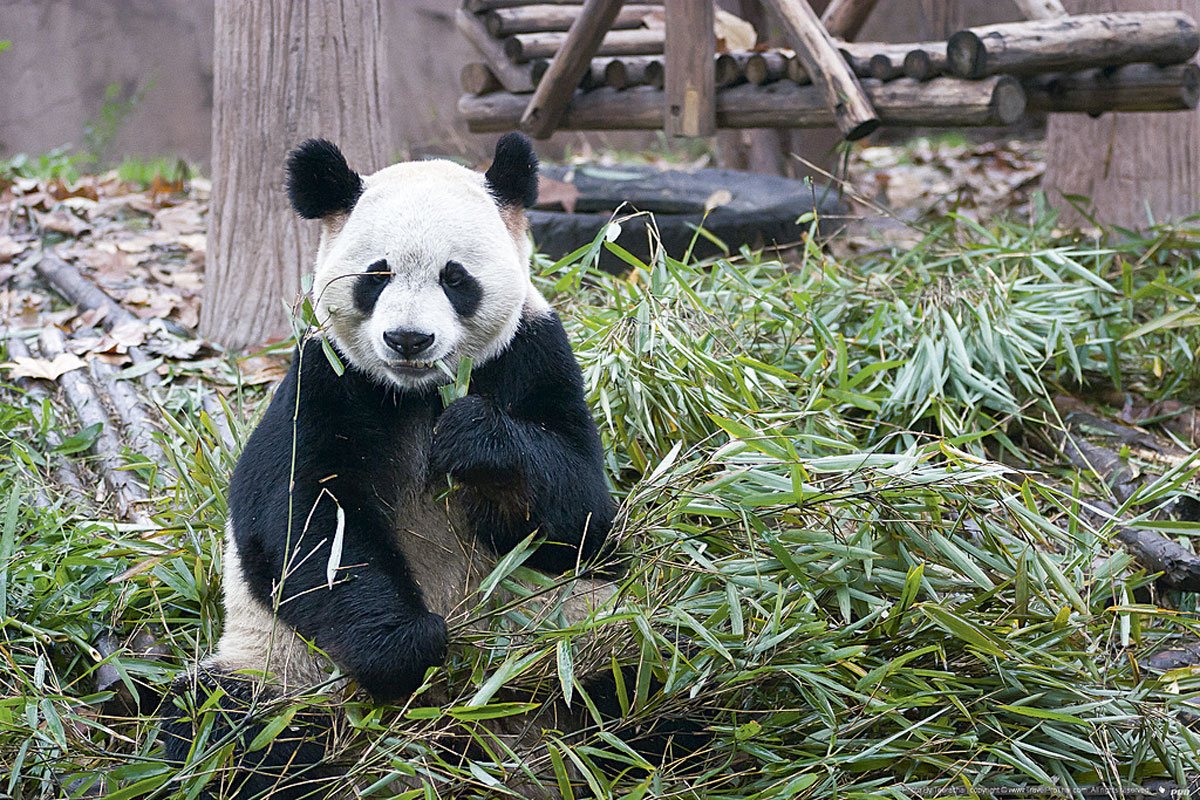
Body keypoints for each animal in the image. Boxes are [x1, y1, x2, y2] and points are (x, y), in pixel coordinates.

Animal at [162, 134, 657, 798]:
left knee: (645, 667)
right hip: (283, 669)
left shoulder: (534, 352)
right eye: (377, 276)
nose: (408, 340)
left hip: (567, 635)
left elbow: (584, 516)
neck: (417, 393)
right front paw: (409, 645)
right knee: (224, 725)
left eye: (455, 277)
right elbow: (305, 522)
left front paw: (477, 440)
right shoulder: (326, 381)